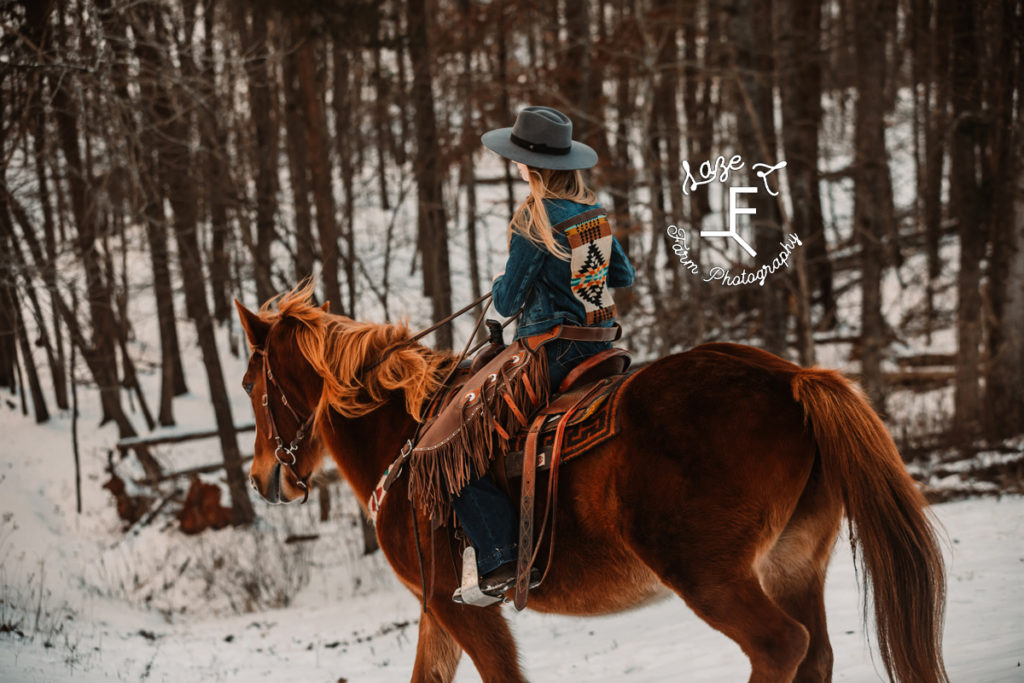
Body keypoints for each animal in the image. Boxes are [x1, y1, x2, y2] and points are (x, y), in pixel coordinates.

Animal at [235, 286, 946, 679]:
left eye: (248, 384)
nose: (261, 477)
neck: (405, 442)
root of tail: (789, 378)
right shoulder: (438, 614)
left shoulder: (458, 607)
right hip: (793, 564)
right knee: (814, 655)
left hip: (711, 575)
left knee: (780, 647)